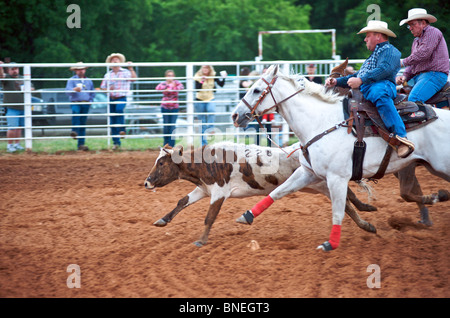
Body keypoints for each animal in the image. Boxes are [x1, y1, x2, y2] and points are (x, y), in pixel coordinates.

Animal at [232, 65, 450, 251]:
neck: (320, 122)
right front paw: (247, 215)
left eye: (256, 90)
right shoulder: (308, 173)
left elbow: (338, 211)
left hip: (437, 165)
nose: (235, 116)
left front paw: (331, 243)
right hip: (432, 166)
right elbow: (278, 192)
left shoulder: (337, 178)